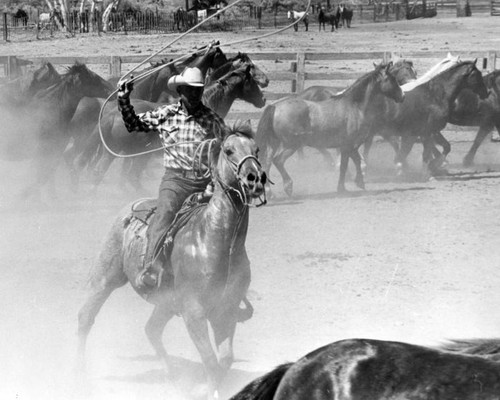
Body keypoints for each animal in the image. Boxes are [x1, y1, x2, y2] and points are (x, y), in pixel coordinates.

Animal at [76, 122, 268, 400]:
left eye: (257, 149)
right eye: (229, 150)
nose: (255, 179)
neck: (216, 242)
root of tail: (129, 207)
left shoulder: (226, 310)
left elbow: (224, 360)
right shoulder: (194, 312)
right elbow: (210, 360)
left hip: (166, 302)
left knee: (152, 330)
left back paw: (174, 379)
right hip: (105, 277)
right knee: (85, 318)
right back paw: (79, 375)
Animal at [256, 61, 404, 195]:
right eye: (392, 79)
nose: (402, 96)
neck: (355, 106)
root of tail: (275, 107)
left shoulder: (349, 146)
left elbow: (354, 161)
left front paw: (356, 182)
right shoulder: (349, 145)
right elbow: (346, 165)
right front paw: (345, 187)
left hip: (275, 143)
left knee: (267, 162)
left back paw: (269, 191)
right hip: (292, 144)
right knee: (278, 160)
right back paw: (288, 186)